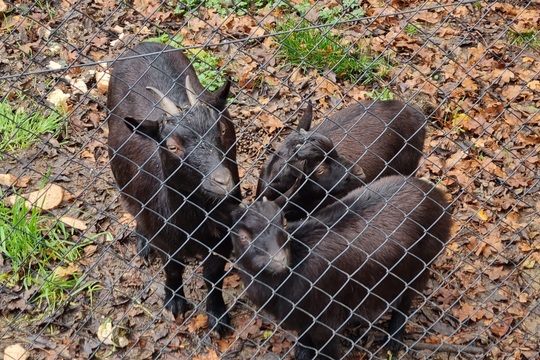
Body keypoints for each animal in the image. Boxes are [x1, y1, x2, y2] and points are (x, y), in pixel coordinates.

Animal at [106, 41, 239, 332]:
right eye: (172, 146)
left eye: (222, 129)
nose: (223, 181)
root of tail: (143, 45)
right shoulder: (165, 238)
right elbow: (173, 268)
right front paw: (175, 301)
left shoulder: (223, 237)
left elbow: (213, 275)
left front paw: (218, 315)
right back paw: (143, 242)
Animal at [232, 176, 452, 358]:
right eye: (242, 236)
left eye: (283, 223)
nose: (279, 261)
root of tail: (438, 197)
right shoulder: (302, 320)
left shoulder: (325, 321)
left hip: (422, 264)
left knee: (406, 300)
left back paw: (394, 339)